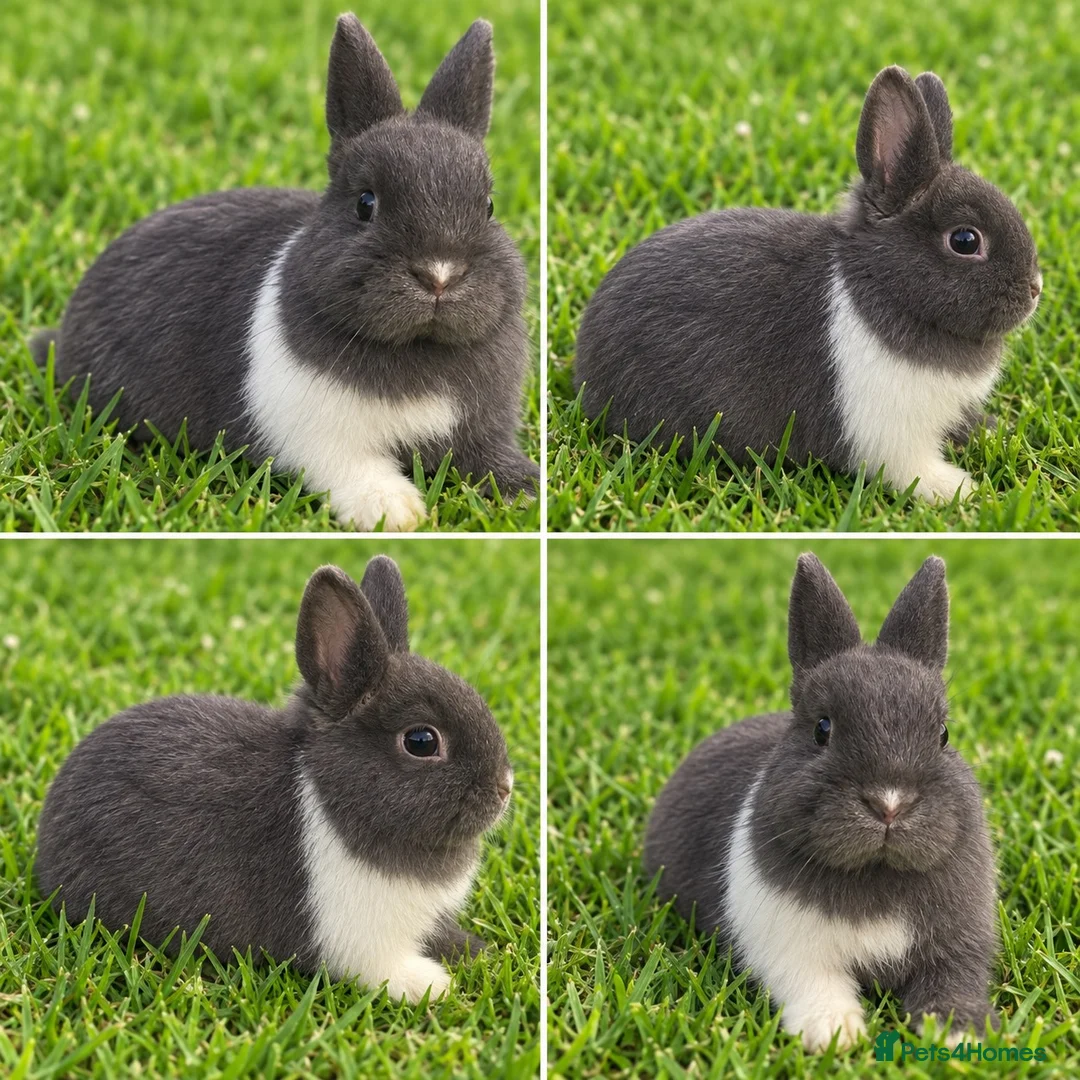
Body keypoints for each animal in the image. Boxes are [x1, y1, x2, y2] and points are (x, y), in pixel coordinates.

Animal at [31, 16, 537, 531]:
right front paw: (396, 511)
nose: (439, 275)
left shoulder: (482, 432)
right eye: (365, 204)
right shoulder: (319, 442)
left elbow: (490, 459)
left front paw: (528, 490)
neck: (419, 349)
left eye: (488, 206)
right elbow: (356, 470)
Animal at [35, 556, 514, 1004]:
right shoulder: (357, 943)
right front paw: (433, 985)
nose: (504, 788)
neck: (327, 793)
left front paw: (478, 952)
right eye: (421, 741)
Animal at [575, 66, 1042, 502]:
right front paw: (960, 490)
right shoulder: (889, 435)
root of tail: (585, 364)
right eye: (965, 240)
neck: (882, 283)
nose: (1035, 289)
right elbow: (909, 470)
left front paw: (994, 432)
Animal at [644, 554, 998, 1052]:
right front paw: (834, 1034)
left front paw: (960, 1034)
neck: (875, 873)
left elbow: (955, 982)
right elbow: (815, 985)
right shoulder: (791, 953)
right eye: (821, 729)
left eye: (943, 734)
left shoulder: (958, 947)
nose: (889, 804)